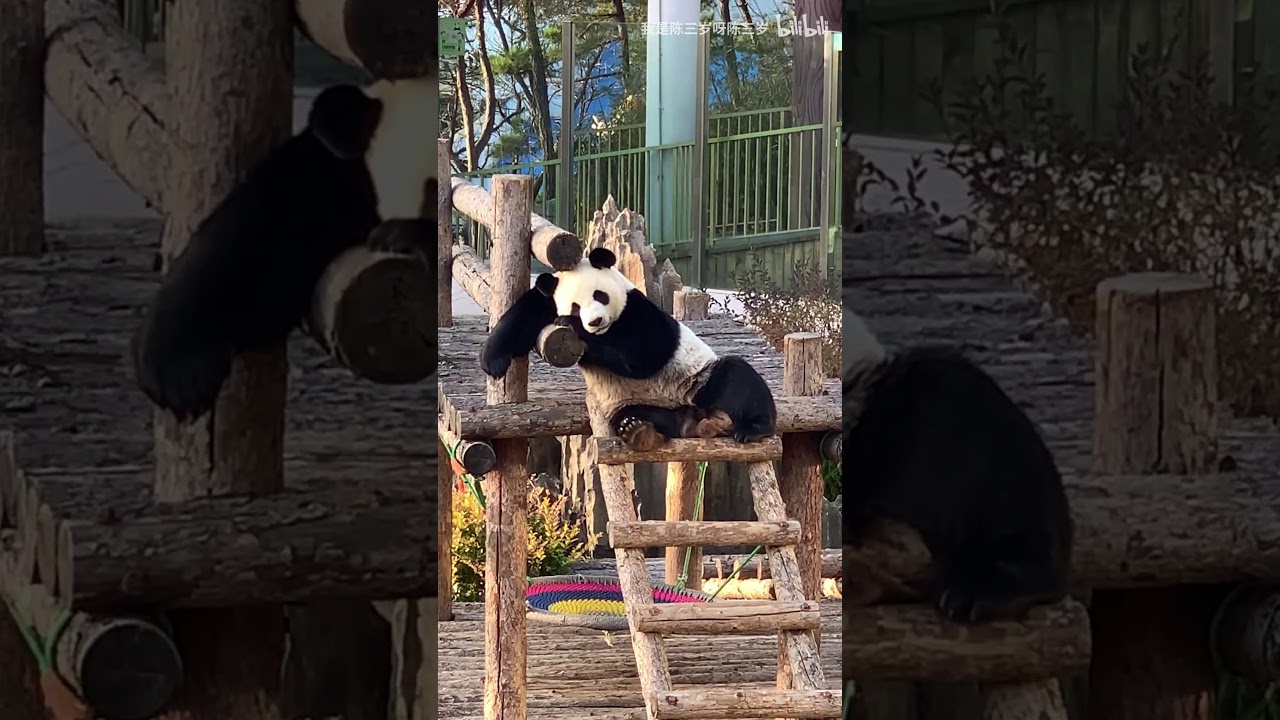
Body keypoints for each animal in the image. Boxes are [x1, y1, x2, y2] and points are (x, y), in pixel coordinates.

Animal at [480, 247, 777, 450]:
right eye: (575, 305)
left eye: (600, 295)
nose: (594, 321)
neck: (608, 330)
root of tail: (700, 415)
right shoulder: (548, 302)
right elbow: (524, 318)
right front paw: (493, 361)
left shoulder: (639, 311)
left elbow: (643, 356)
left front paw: (572, 326)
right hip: (637, 402)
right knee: (642, 417)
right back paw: (643, 428)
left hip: (698, 380)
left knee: (735, 378)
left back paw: (753, 428)